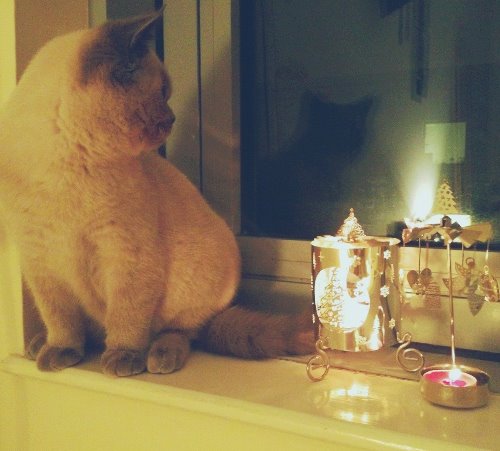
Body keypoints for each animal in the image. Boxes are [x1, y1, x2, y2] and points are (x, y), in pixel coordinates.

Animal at [0, 9, 313, 377]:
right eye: (162, 92)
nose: (173, 118)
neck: (62, 168)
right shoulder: (40, 261)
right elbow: (61, 320)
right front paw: (60, 352)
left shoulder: (126, 255)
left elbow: (126, 316)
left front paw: (122, 357)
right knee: (92, 331)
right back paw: (40, 346)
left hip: (196, 282)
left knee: (180, 332)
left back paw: (159, 356)